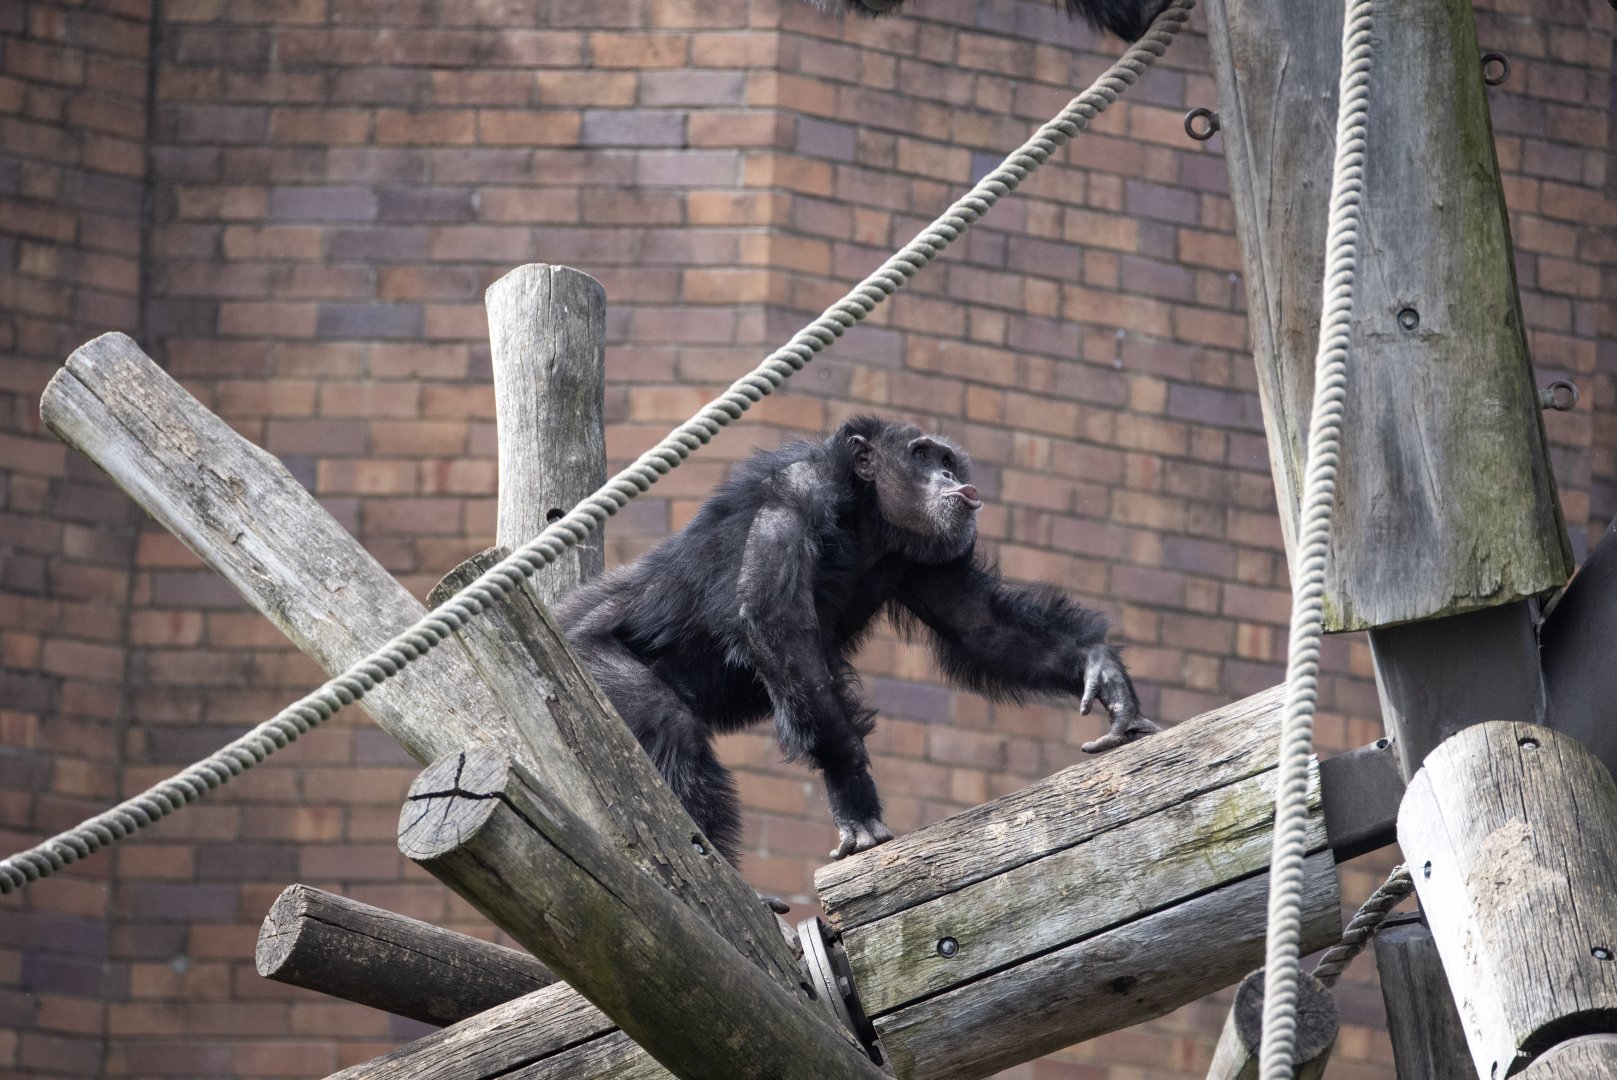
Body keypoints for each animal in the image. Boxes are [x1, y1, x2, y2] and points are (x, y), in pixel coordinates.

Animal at [558, 416, 1158, 865]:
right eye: (922, 454)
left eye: (946, 460)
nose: (949, 476)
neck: (864, 517)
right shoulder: (795, 495)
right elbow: (775, 621)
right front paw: (853, 795)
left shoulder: (921, 557)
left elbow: (982, 625)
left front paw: (1103, 672)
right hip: (588, 664)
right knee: (668, 726)